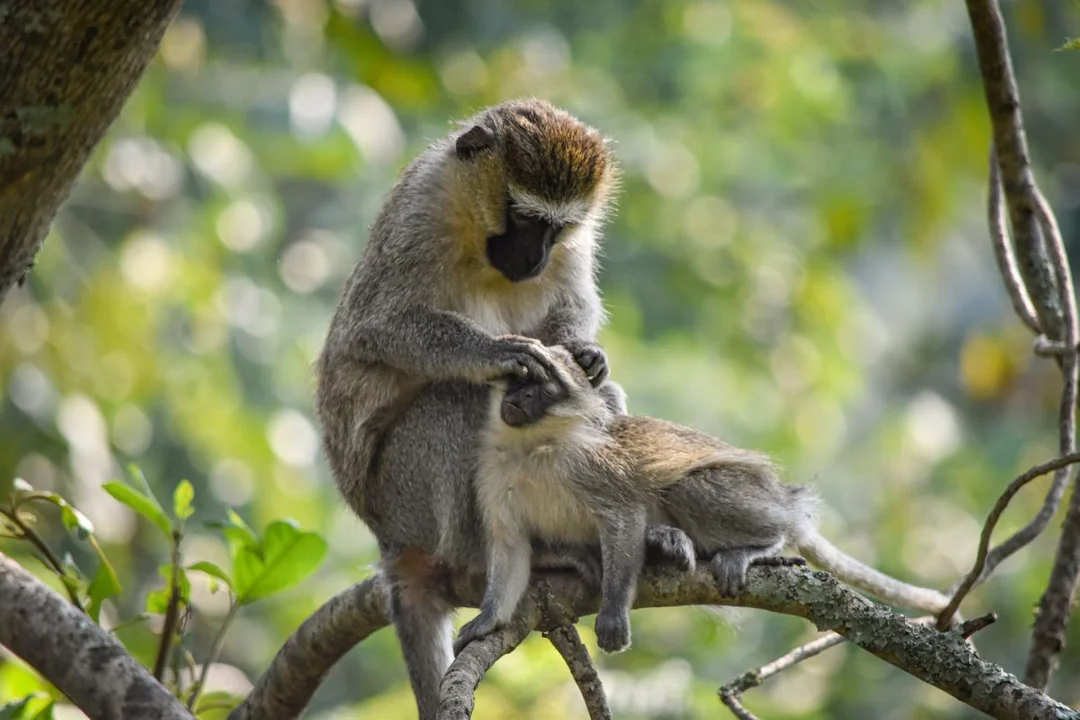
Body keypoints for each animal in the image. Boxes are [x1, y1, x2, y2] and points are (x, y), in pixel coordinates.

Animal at [315, 98, 686, 716]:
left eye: (558, 228)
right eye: (524, 217)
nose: (534, 258)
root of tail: (387, 540)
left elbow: (573, 326)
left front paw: (585, 352)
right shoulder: (421, 212)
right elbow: (375, 328)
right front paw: (496, 351)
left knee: (598, 402)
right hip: (404, 500)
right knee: (458, 402)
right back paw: (504, 558)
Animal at [460, 345, 950, 656]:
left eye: (543, 386)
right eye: (517, 378)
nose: (520, 396)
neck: (531, 451)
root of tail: (782, 498)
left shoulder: (591, 467)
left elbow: (623, 515)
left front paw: (614, 611)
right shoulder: (491, 475)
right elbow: (510, 549)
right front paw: (488, 620)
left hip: (750, 490)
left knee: (690, 489)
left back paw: (762, 545)